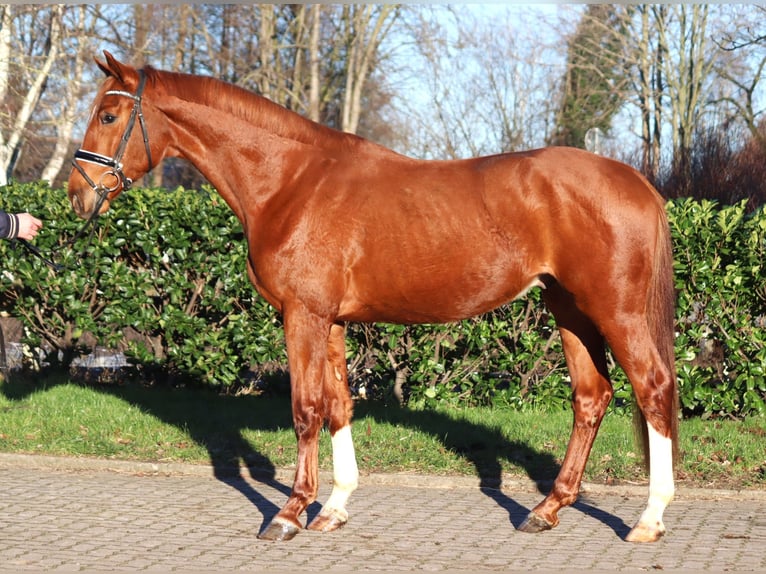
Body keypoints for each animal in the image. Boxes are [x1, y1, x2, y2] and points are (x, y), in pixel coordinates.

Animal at [66, 53, 680, 544]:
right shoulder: (332, 321)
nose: (76, 196)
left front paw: (288, 514)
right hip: (569, 310)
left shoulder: (303, 316)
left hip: (615, 311)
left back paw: (649, 519)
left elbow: (306, 410)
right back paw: (547, 509)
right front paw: (333, 509)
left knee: (652, 389)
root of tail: (637, 182)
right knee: (591, 397)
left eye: (108, 116)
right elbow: (338, 406)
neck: (292, 182)